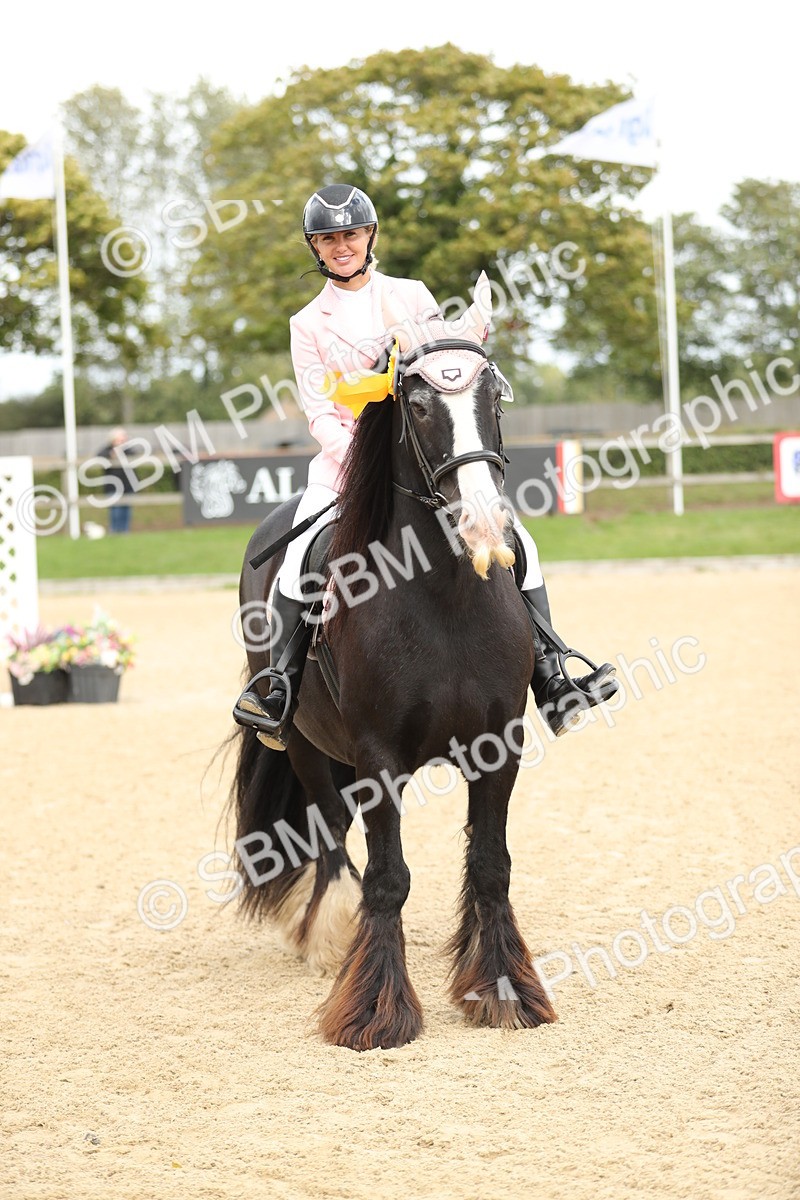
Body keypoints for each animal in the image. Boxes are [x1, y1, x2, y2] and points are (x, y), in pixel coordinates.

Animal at [228, 274, 557, 1050]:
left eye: (493, 396)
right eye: (418, 403)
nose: (484, 527)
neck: (443, 594)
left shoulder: (499, 745)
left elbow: (491, 866)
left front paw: (502, 992)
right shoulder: (378, 756)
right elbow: (388, 878)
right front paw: (375, 1011)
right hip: (306, 743)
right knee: (329, 831)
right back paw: (328, 937)